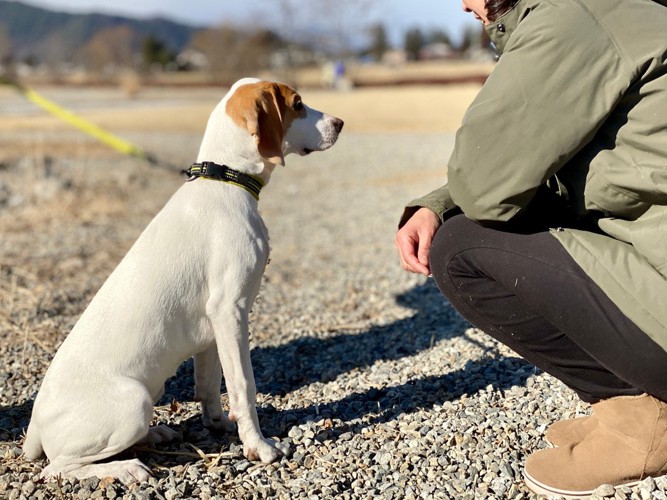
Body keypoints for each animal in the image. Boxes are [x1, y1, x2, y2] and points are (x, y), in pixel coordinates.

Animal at [22, 79, 344, 484]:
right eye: (298, 104)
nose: (341, 123)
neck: (225, 180)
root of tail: (34, 427)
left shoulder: (212, 329)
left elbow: (209, 386)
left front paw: (222, 426)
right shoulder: (230, 311)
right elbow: (243, 385)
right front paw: (259, 446)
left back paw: (154, 434)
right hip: (134, 402)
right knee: (59, 467)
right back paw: (126, 467)